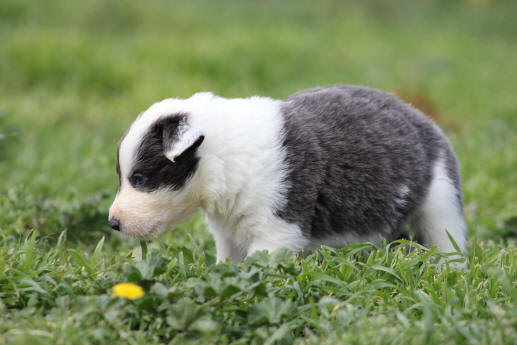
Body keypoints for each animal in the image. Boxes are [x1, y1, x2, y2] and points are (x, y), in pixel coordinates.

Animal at [109, 84, 468, 262]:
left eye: (140, 179)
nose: (112, 223)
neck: (224, 158)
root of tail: (419, 115)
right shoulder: (227, 232)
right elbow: (227, 263)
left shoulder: (278, 228)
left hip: (441, 195)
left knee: (447, 238)